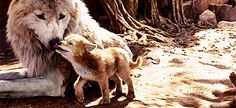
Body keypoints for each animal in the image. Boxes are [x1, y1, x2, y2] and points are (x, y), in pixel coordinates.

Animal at [0, 0, 131, 98]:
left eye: (62, 16)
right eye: (40, 16)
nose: (55, 42)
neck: (45, 54)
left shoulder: (54, 83)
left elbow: (7, 85)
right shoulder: (37, 70)